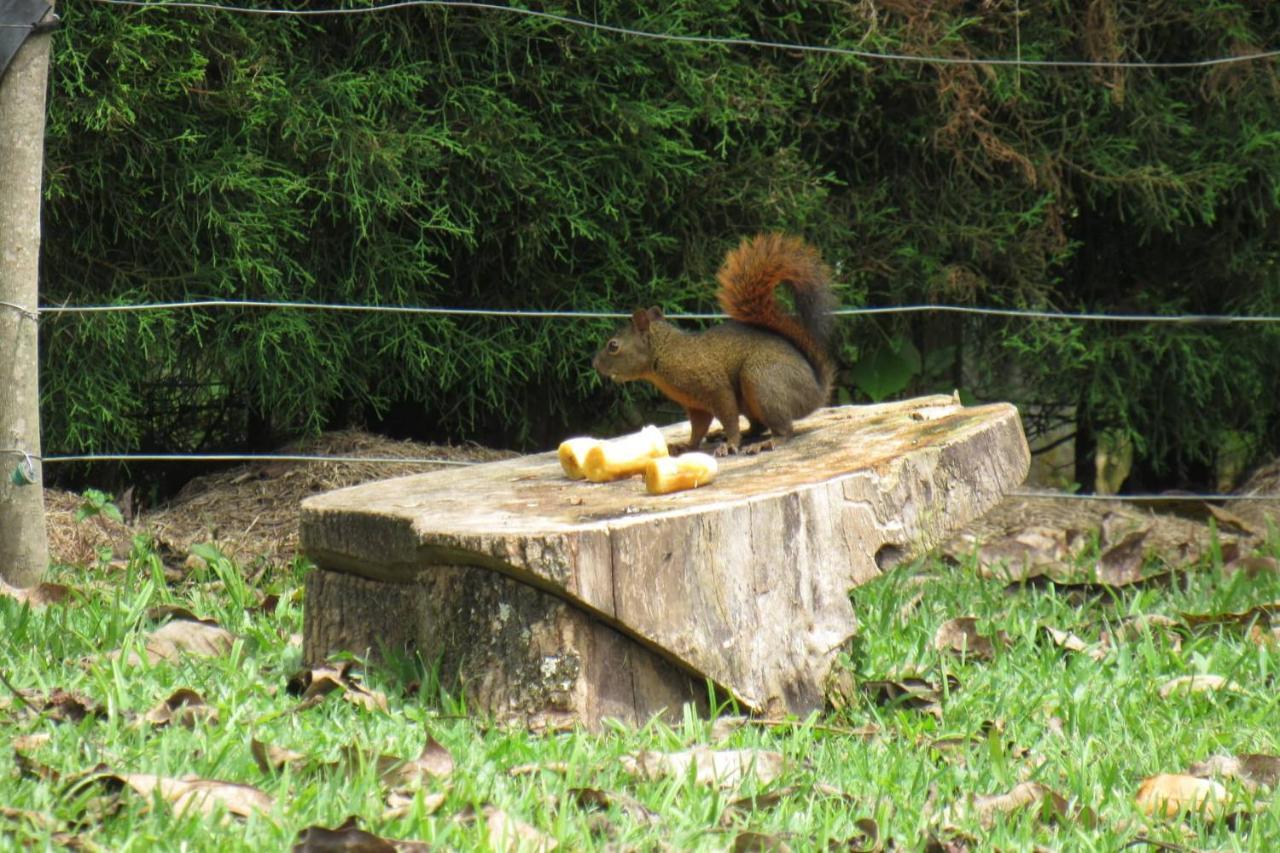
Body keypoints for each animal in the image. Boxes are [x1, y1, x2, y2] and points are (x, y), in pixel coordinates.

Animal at [591, 229, 834, 455]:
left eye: (613, 346)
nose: (595, 364)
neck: (666, 353)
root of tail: (816, 391)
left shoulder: (715, 387)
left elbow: (728, 417)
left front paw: (731, 444)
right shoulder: (695, 405)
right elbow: (698, 429)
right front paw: (686, 446)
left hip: (762, 380)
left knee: (784, 430)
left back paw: (766, 442)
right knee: (757, 426)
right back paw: (728, 435)